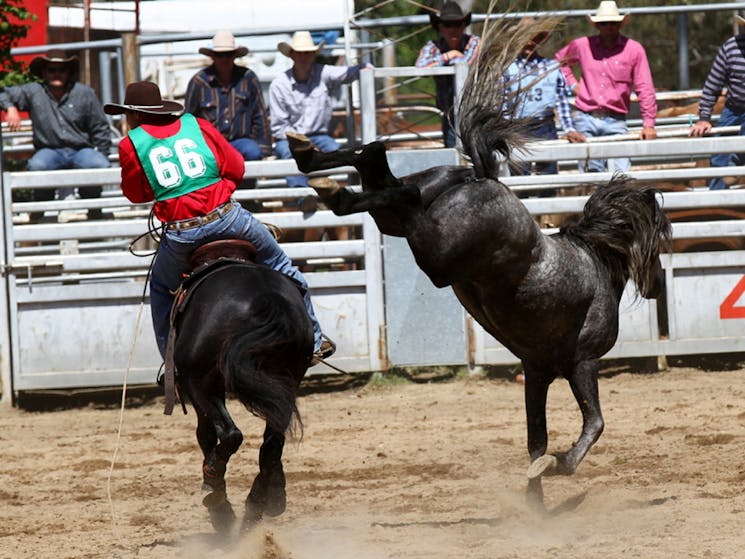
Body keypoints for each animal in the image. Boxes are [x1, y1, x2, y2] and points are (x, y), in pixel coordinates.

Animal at [173, 243, 312, 532]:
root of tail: (266, 298)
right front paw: (277, 494)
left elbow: (205, 435)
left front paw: (219, 509)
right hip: (288, 380)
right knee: (273, 442)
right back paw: (257, 506)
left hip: (200, 382)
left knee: (230, 434)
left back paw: (216, 493)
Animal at [288, 16, 672, 508]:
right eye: (661, 238)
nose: (658, 285)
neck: (596, 265)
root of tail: (482, 178)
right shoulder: (581, 363)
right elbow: (593, 424)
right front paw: (560, 467)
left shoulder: (537, 371)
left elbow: (536, 440)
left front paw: (536, 499)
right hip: (435, 259)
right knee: (400, 191)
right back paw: (327, 182)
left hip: (404, 217)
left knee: (377, 165)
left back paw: (316, 166)